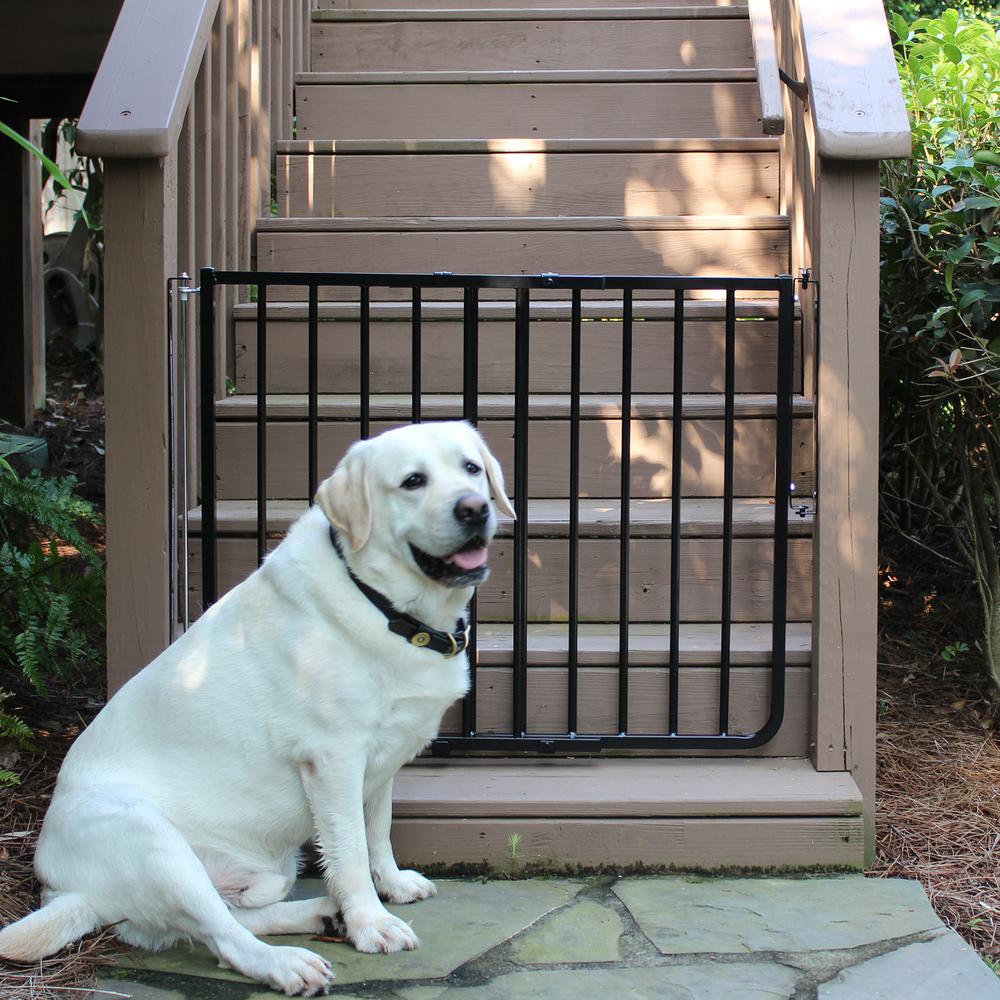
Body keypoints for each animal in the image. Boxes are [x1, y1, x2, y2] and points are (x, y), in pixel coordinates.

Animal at [0, 420, 512, 992]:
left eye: (471, 468)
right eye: (412, 481)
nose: (474, 508)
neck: (384, 605)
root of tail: (67, 894)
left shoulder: (383, 760)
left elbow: (378, 829)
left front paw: (394, 884)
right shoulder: (334, 762)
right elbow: (352, 851)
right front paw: (371, 922)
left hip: (263, 871)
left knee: (231, 918)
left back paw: (319, 913)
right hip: (153, 841)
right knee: (225, 937)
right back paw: (287, 962)